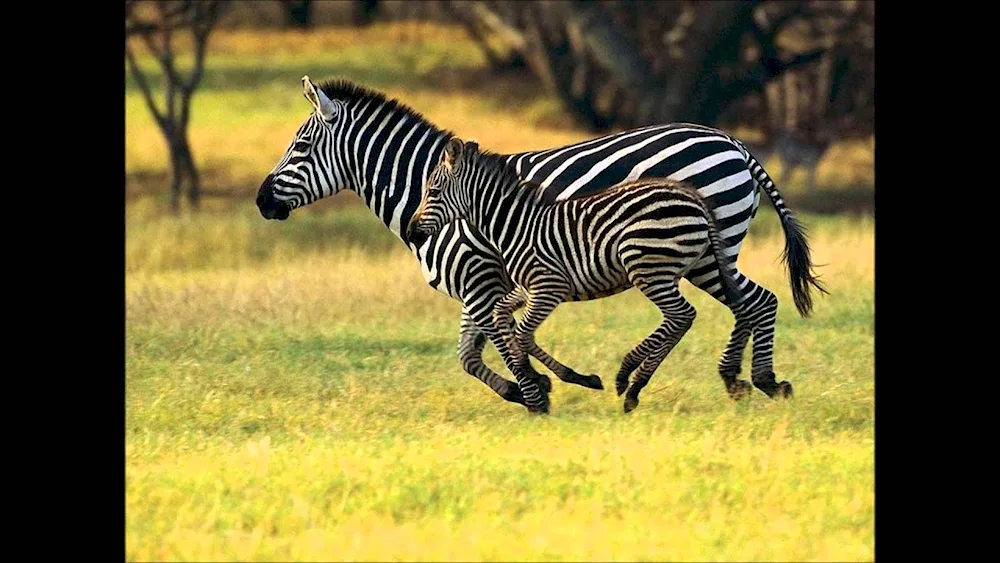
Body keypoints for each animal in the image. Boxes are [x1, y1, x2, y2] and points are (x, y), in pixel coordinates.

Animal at [406, 138, 780, 412]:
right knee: (726, 308)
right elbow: (503, 319)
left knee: (683, 315)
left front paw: (547, 385)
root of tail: (693, 197)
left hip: (648, 266)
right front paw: (538, 380)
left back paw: (630, 380)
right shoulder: (527, 289)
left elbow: (523, 335)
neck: (515, 225)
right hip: (686, 265)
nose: (411, 231)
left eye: (432, 192)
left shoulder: (549, 287)